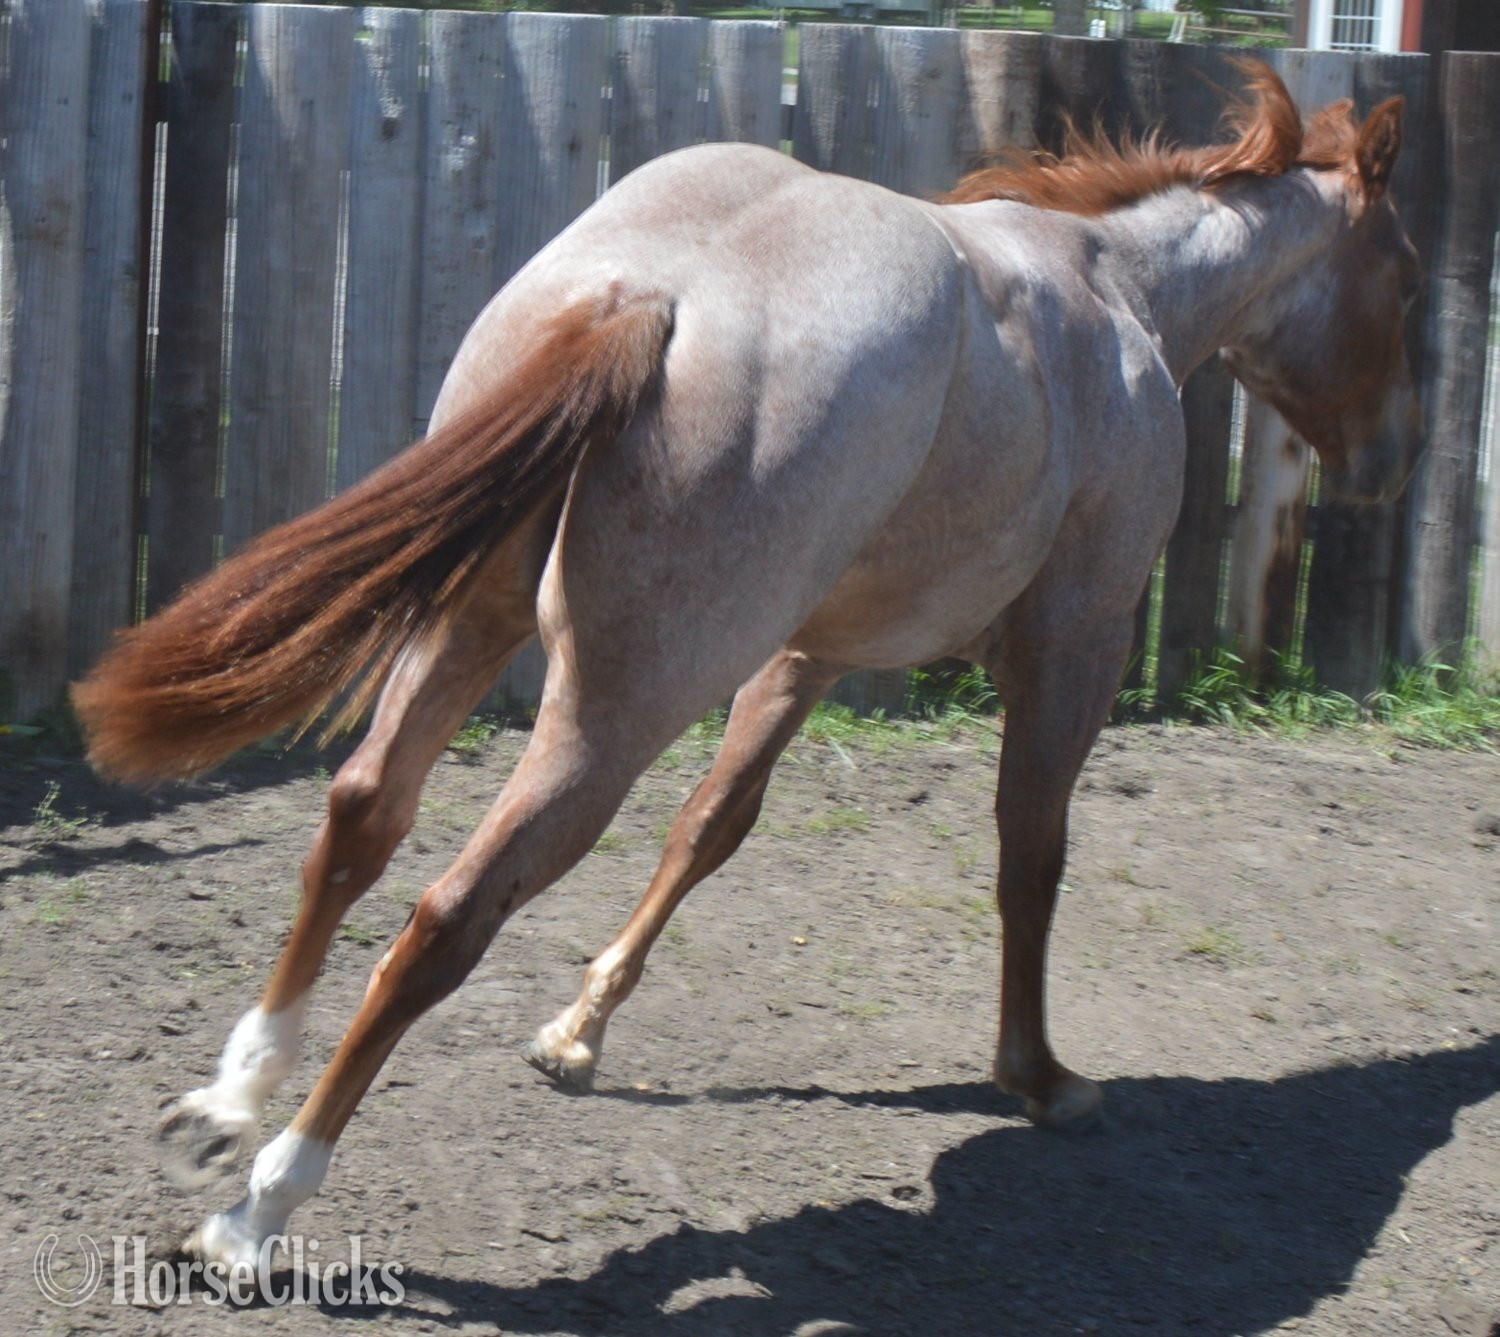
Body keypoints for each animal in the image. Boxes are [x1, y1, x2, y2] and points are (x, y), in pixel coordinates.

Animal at [72, 61, 1421, 1272]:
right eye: (1405, 271)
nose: (1387, 465)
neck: (1118, 292)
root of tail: (651, 292)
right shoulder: (1072, 646)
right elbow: (1031, 858)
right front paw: (1039, 1074)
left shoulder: (799, 655)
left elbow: (710, 826)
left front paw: (579, 1030)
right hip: (611, 712)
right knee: (450, 912)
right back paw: (262, 1207)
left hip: (471, 626)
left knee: (360, 813)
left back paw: (233, 1099)